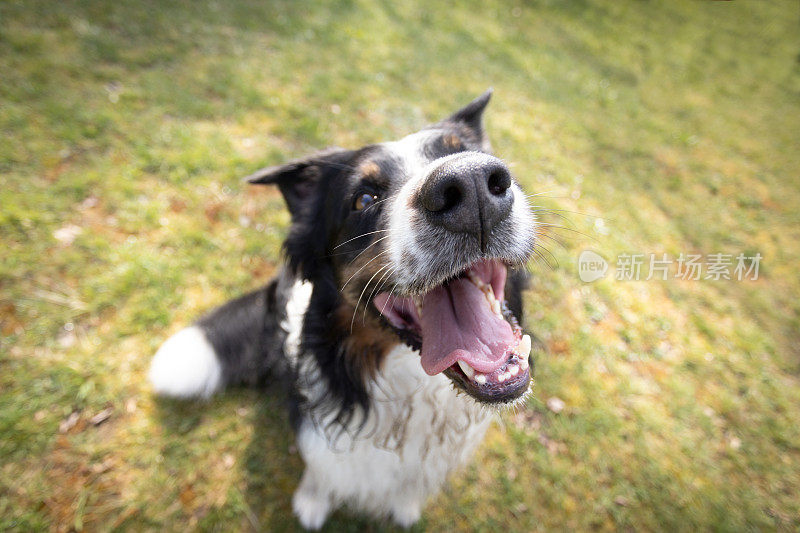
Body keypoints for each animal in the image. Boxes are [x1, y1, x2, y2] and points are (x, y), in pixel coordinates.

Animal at [150, 91, 536, 528]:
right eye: (364, 199)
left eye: (469, 153)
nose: (472, 185)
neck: (408, 379)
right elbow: (321, 468)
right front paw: (312, 503)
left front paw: (406, 506)